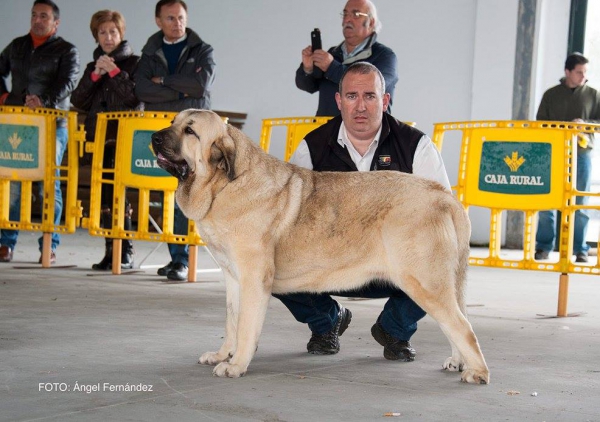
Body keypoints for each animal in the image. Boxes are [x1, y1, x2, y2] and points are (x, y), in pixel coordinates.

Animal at [150, 108, 488, 382]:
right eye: (173, 121)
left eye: (190, 131)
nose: (153, 137)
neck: (224, 184)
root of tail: (443, 195)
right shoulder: (233, 278)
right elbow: (232, 323)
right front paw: (223, 355)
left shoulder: (254, 279)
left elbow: (246, 327)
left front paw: (236, 365)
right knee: (458, 321)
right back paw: (459, 362)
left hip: (422, 281)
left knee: (463, 328)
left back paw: (477, 372)